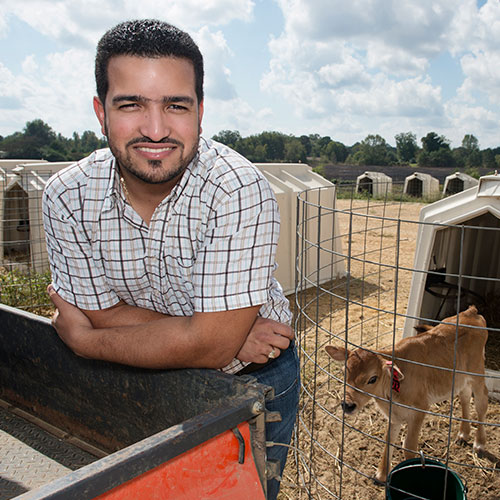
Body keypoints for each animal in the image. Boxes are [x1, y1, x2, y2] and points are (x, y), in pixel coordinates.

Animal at [324, 302, 488, 482]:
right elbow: (389, 439)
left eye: (372, 379)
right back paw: (463, 434)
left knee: (481, 402)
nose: (348, 405)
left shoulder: (420, 408)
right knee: (465, 396)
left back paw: (479, 443)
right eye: (344, 372)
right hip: (460, 378)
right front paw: (381, 475)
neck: (390, 393)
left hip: (477, 371)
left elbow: (408, 446)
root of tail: (470, 312)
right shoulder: (394, 415)